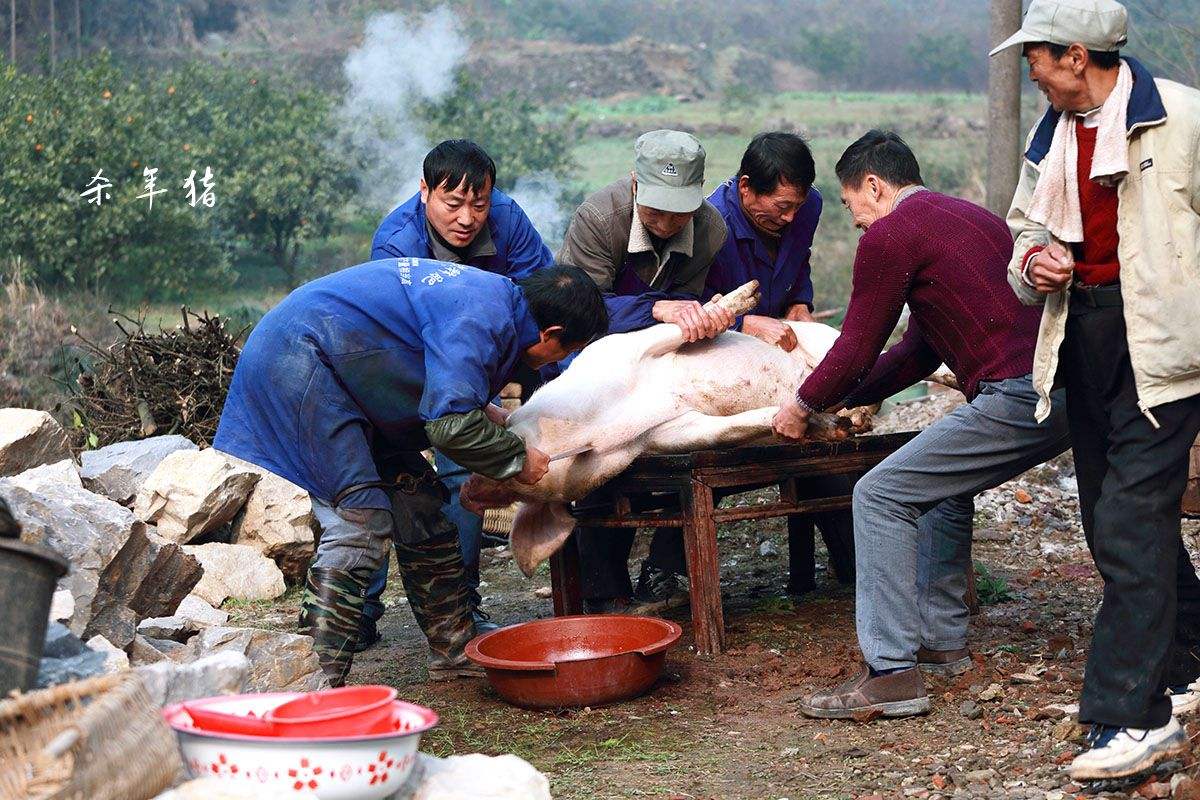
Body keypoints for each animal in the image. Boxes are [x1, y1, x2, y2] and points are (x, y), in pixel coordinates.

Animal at [463, 281, 868, 575]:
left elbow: (685, 326)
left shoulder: (626, 348)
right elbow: (722, 430)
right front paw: (831, 428)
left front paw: (745, 293)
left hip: (828, 338)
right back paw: (852, 419)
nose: (468, 491)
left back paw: (860, 414)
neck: (599, 423)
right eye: (519, 481)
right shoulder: (667, 433)